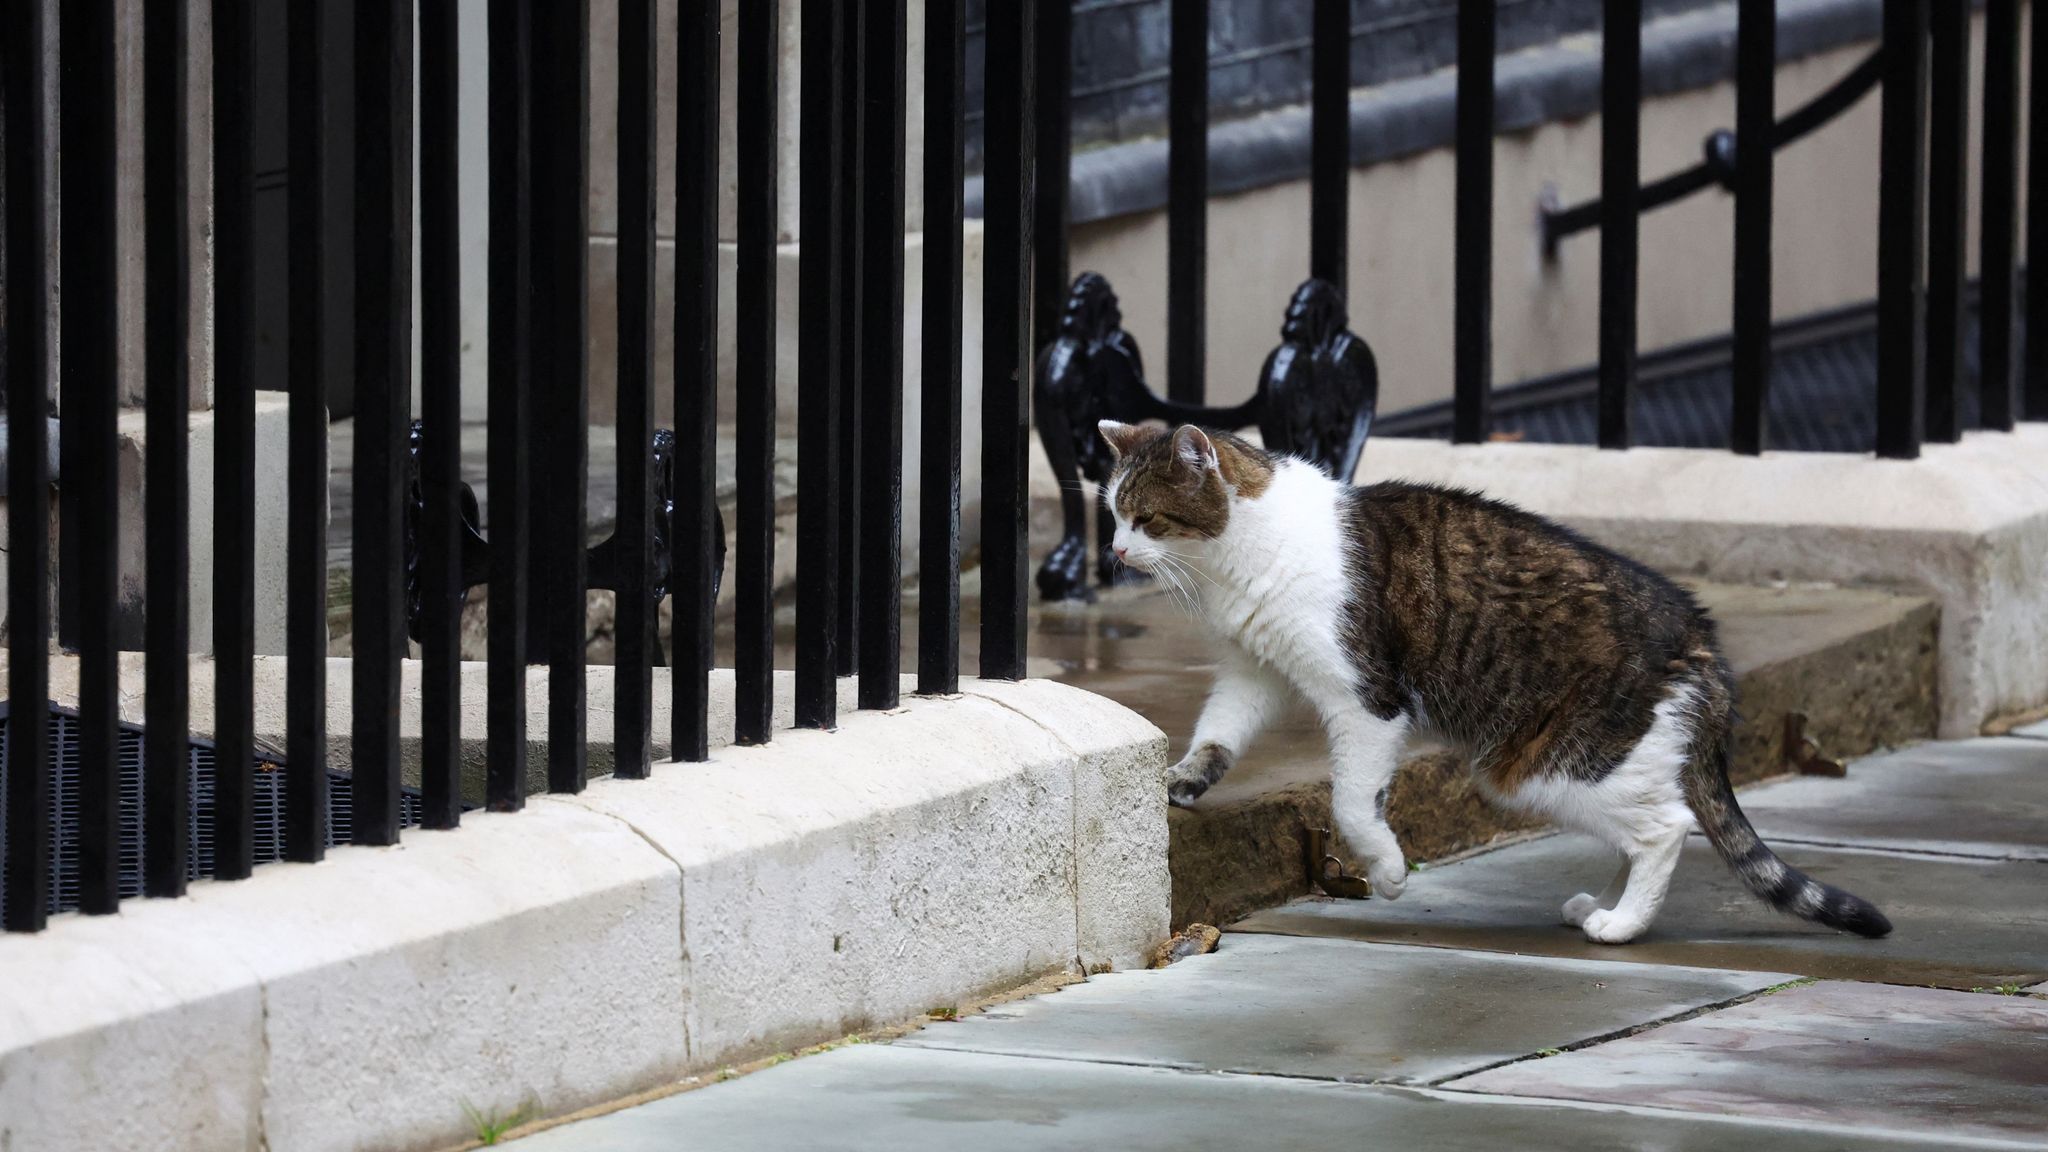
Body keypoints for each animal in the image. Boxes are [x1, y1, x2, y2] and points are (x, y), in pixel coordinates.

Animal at [1097, 416, 1892, 938]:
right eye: (1111, 513)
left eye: (1147, 518)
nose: (1114, 552)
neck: (1237, 558)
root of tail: (1701, 638)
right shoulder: (1257, 668)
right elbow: (1218, 732)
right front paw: (1184, 780)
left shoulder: (1366, 699)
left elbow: (1354, 801)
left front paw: (1386, 872)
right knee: (1646, 825)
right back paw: (1603, 906)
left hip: (1546, 765)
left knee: (1667, 827)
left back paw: (1622, 925)